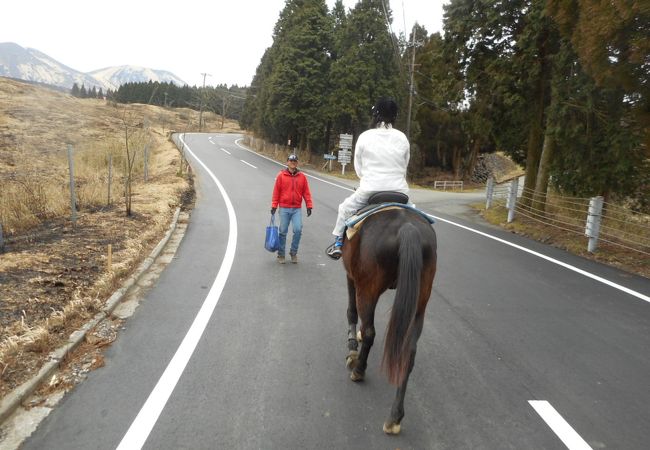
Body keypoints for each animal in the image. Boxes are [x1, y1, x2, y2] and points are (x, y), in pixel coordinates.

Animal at [340, 192, 436, 432]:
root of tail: (407, 228)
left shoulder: (351, 277)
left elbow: (351, 312)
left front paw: (352, 348)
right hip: (420, 300)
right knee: (409, 353)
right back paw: (395, 416)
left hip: (368, 289)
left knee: (370, 332)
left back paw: (359, 370)